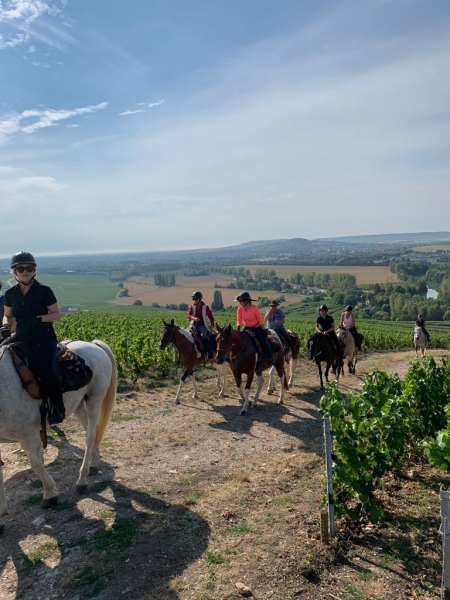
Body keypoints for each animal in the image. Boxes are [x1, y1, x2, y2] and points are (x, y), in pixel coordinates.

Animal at [0, 340, 118, 532]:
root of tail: (93, 344)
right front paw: (1, 518)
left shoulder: (28, 437)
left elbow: (37, 466)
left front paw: (50, 494)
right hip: (78, 405)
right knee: (89, 431)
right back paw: (93, 464)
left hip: (94, 400)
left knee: (90, 435)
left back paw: (82, 479)